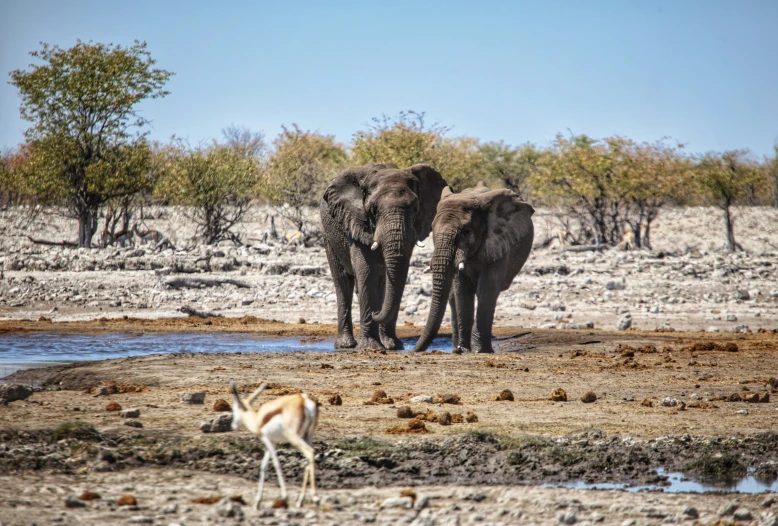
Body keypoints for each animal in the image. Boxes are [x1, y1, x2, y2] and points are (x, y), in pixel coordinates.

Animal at [318, 164, 446, 350]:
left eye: (415, 209)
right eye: (373, 210)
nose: (375, 313)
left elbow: (396, 276)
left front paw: (393, 346)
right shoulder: (357, 223)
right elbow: (367, 272)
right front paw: (371, 348)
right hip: (328, 236)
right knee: (342, 281)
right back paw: (346, 345)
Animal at [412, 184, 532, 356]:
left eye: (466, 231)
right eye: (432, 229)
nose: (414, 350)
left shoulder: (499, 243)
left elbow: (488, 288)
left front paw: (480, 351)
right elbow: (461, 290)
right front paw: (463, 349)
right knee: (453, 297)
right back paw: (456, 346)